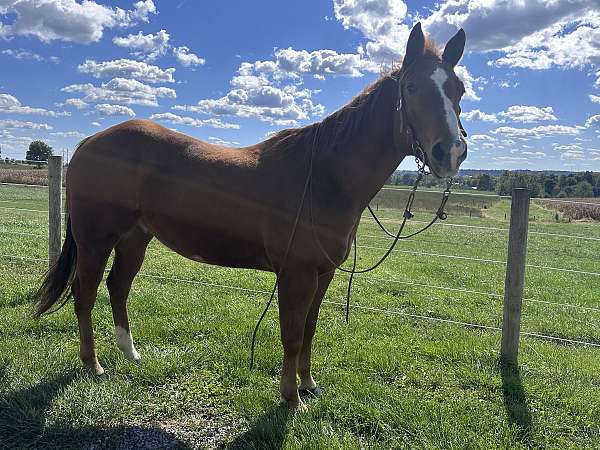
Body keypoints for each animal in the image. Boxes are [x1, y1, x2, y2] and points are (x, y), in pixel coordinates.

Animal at [34, 24, 468, 412]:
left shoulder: (323, 273)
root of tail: (90, 142)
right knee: (85, 293)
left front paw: (309, 385)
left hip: (135, 238)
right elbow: (292, 334)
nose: (451, 151)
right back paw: (93, 365)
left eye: (458, 90)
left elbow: (309, 329)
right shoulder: (296, 274)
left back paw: (131, 353)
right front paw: (291, 398)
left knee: (118, 287)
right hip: (95, 240)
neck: (322, 177)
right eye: (412, 88)